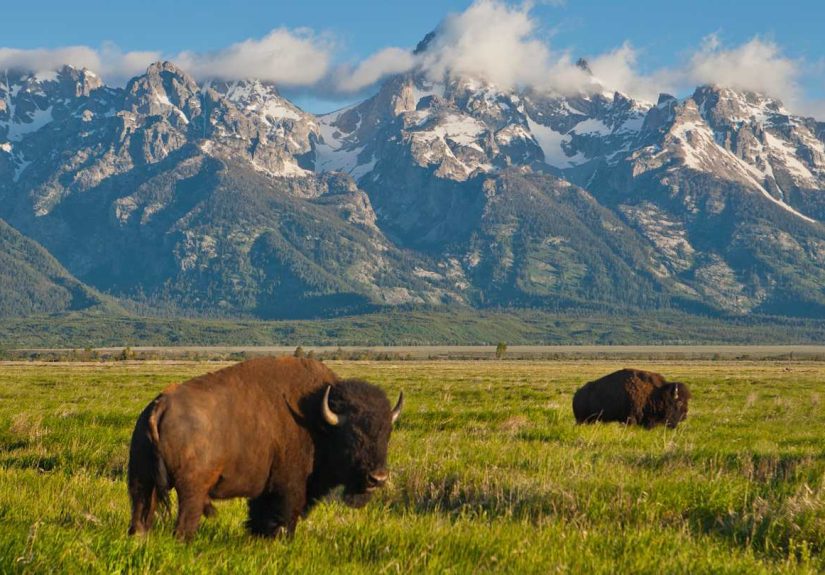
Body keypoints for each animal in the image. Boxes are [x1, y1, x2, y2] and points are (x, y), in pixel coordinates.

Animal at [127, 356, 403, 540]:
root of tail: (160, 405)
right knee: (184, 523)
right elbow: (286, 517)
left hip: (142, 481)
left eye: (387, 433)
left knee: (140, 516)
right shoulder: (290, 487)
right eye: (353, 435)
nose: (378, 478)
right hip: (192, 489)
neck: (318, 419)